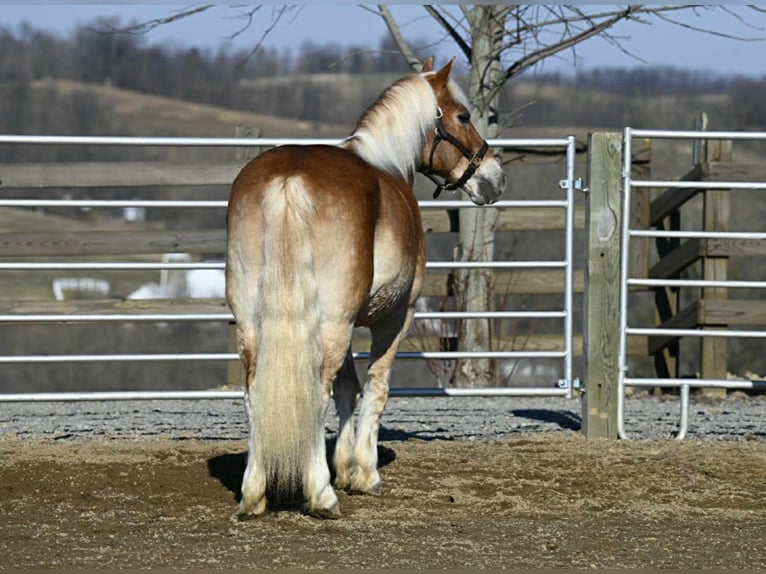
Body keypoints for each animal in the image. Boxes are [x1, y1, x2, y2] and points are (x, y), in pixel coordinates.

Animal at [225, 58, 508, 520]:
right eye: (463, 116)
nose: (494, 179)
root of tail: (289, 178)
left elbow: (348, 389)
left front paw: (343, 466)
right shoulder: (395, 317)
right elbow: (376, 387)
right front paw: (364, 472)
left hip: (254, 322)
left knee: (254, 392)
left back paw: (255, 492)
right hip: (334, 324)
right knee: (317, 391)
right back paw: (321, 494)